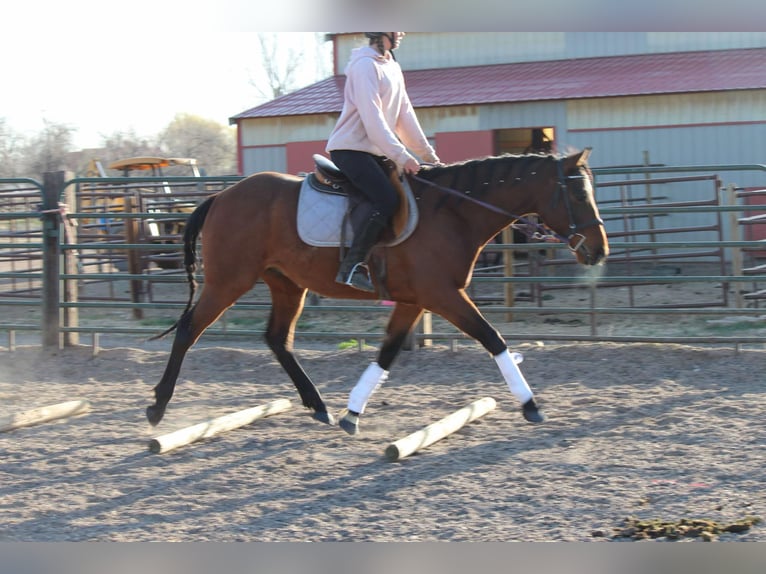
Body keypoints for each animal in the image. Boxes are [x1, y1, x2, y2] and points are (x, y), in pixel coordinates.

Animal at [146, 148, 608, 435]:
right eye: (578, 194)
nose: (599, 249)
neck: (453, 212)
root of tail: (222, 196)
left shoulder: (413, 301)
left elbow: (387, 353)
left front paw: (352, 412)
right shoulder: (443, 296)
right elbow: (493, 339)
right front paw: (531, 405)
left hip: (286, 284)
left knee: (278, 340)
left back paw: (318, 405)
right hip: (228, 281)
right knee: (189, 331)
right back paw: (157, 407)